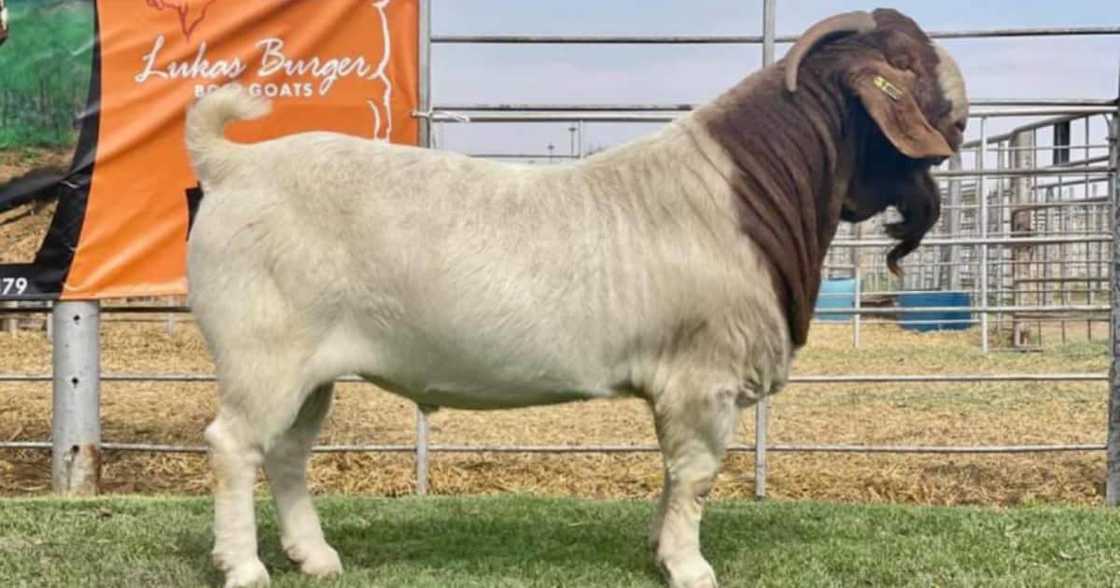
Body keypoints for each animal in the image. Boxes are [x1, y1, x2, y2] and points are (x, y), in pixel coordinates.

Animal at [185, 9, 967, 588]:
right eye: (914, 69)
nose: (960, 125)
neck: (746, 193)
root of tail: (234, 163)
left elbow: (673, 474)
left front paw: (658, 550)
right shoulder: (703, 376)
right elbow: (697, 475)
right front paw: (690, 567)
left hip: (310, 371)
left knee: (287, 453)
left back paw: (314, 558)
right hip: (263, 353)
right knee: (233, 445)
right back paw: (246, 567)